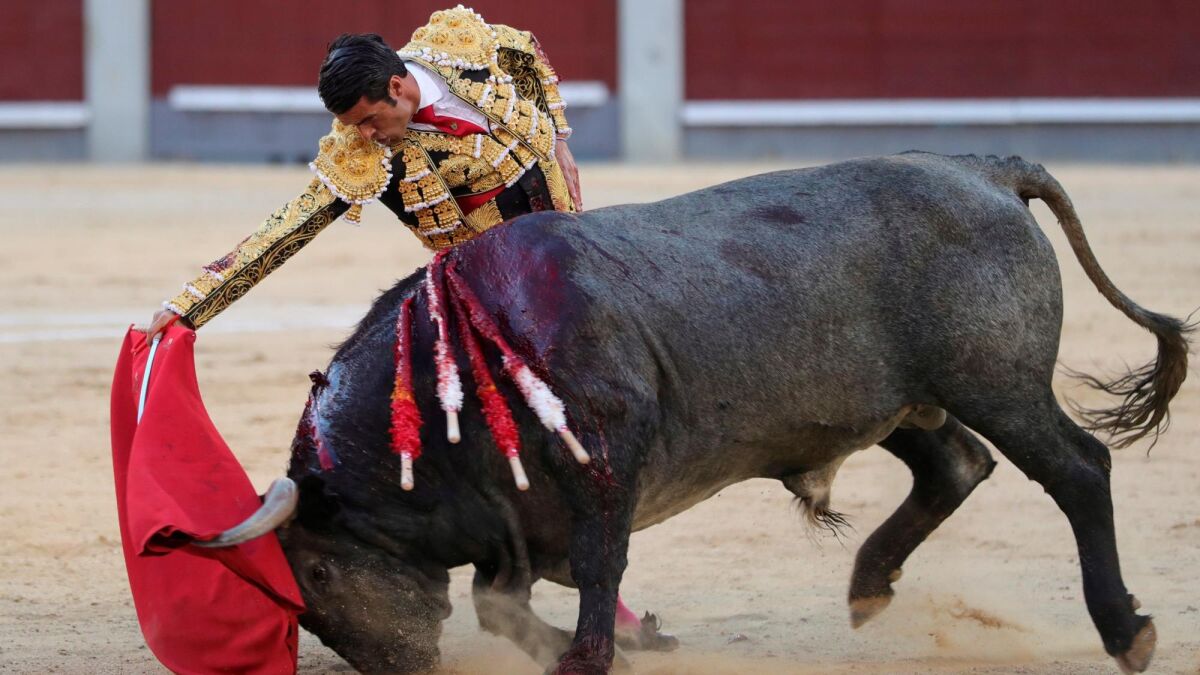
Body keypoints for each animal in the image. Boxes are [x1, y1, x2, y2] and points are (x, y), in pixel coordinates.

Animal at [212, 152, 1191, 673]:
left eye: (320, 572)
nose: (404, 663)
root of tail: (981, 167)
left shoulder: (603, 463)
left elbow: (595, 568)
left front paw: (592, 655)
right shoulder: (514, 521)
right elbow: (501, 604)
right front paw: (633, 643)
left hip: (1000, 384)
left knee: (1076, 470)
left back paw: (1127, 629)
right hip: (900, 403)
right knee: (957, 464)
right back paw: (870, 586)